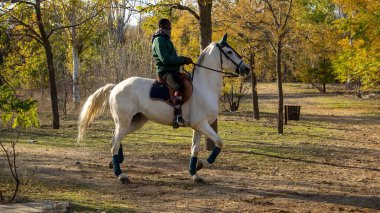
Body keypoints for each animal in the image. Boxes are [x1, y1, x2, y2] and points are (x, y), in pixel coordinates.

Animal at [78, 34, 249, 184]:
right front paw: (201, 165)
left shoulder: (199, 127)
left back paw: (116, 164)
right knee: (114, 143)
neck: (204, 88)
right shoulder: (201, 124)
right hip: (124, 122)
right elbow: (219, 142)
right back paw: (121, 175)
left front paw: (195, 173)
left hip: (135, 122)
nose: (246, 69)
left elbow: (194, 150)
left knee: (114, 140)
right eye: (229, 52)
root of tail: (115, 87)